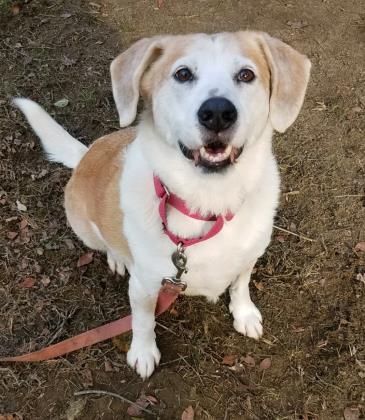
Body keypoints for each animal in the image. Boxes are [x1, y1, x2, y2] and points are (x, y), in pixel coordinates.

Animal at [14, 31, 310, 378]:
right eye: (182, 74)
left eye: (246, 75)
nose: (218, 112)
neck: (208, 200)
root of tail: (85, 154)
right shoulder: (144, 286)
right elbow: (142, 321)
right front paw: (143, 353)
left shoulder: (249, 256)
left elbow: (241, 284)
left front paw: (244, 314)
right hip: (84, 227)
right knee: (106, 244)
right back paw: (117, 258)